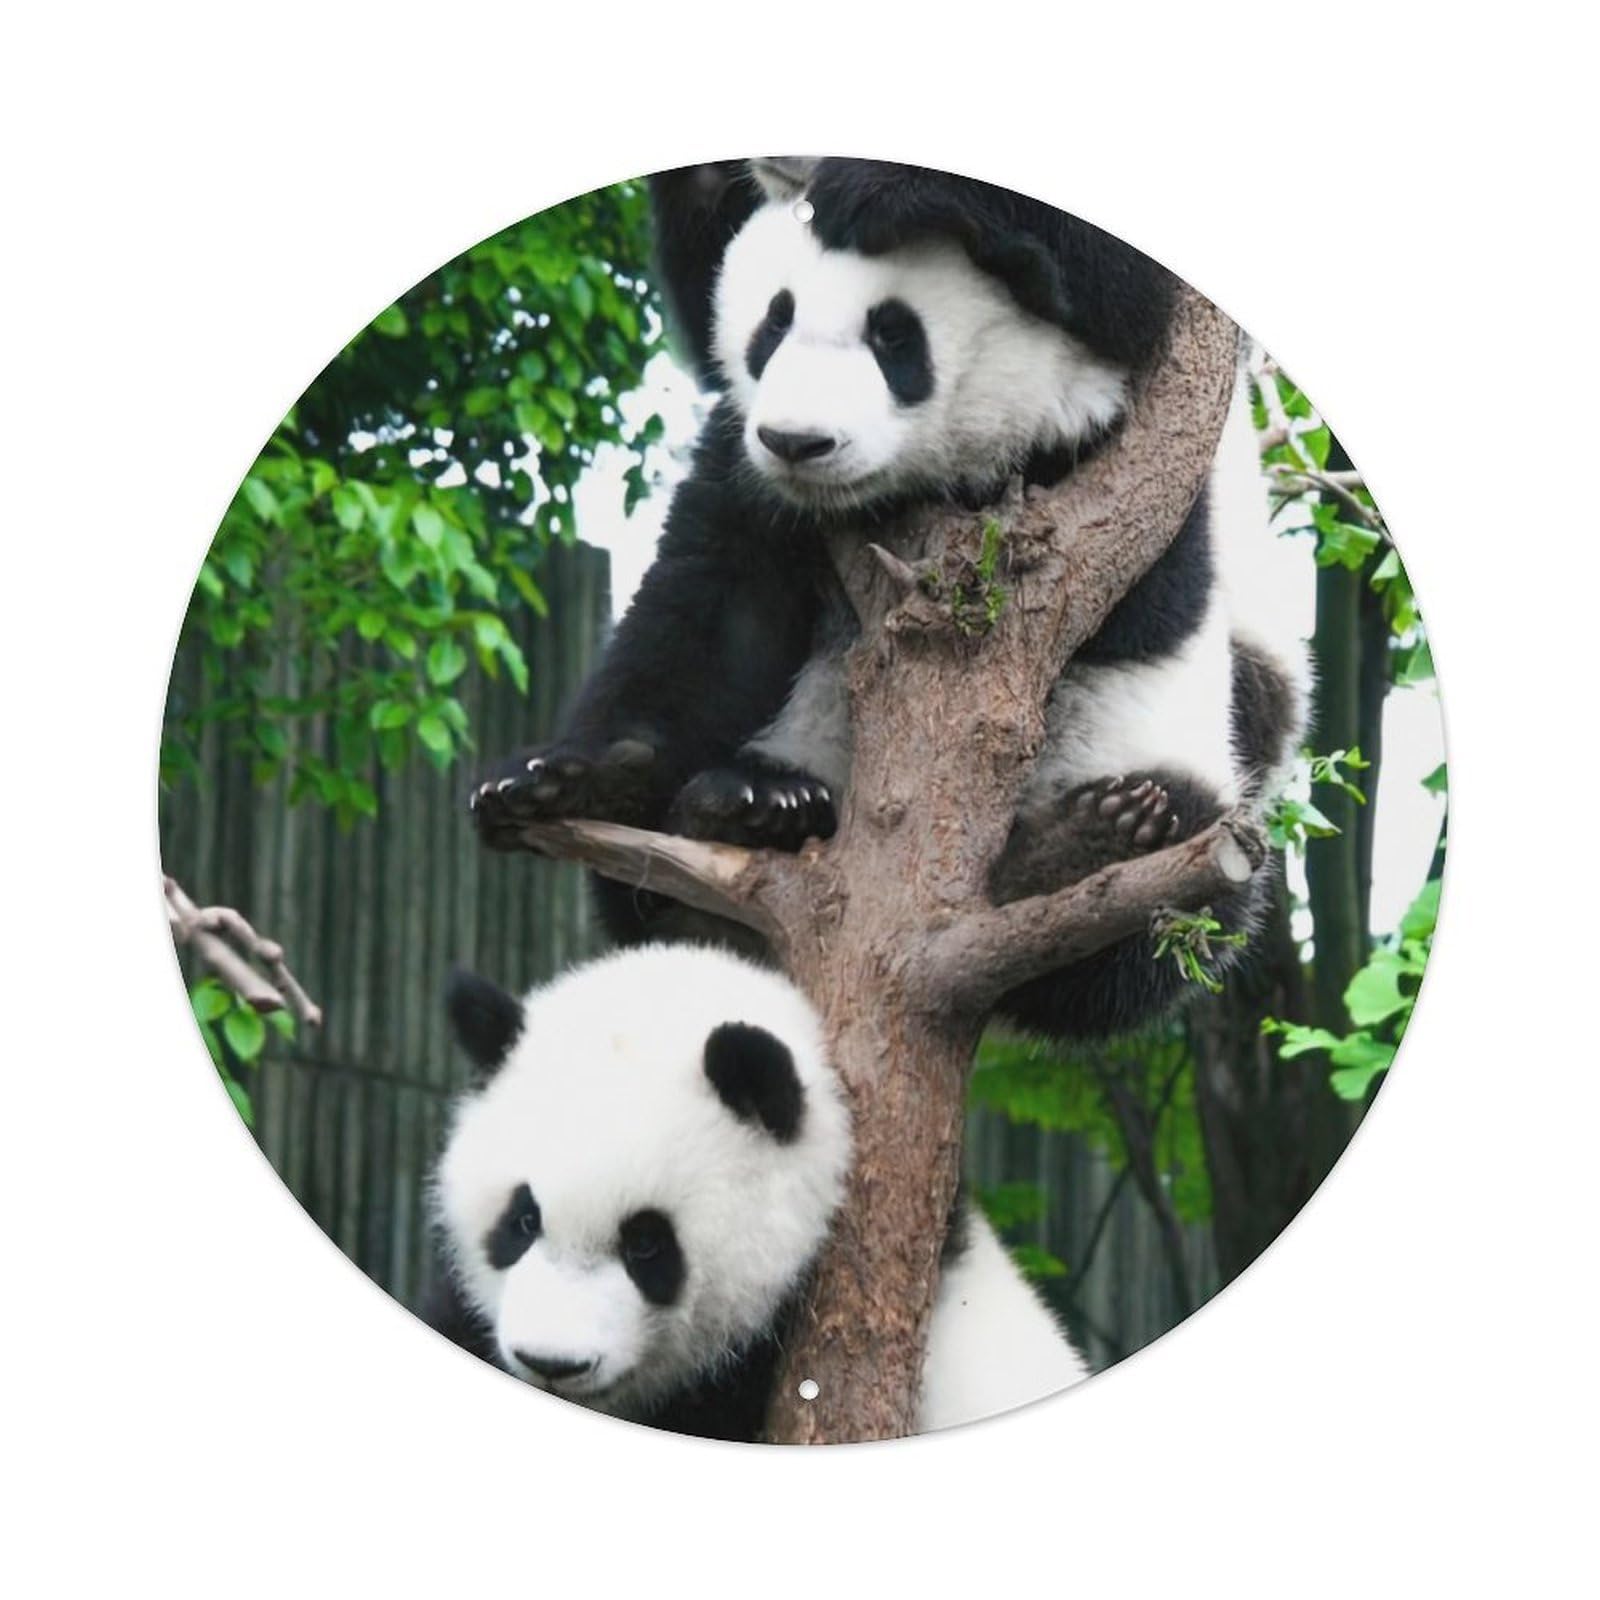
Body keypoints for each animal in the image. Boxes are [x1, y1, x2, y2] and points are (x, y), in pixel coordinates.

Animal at [471, 158, 1307, 1039]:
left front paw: (878, 188)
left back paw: (1085, 847)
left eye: (895, 337)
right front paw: (584, 773)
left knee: (1172, 899)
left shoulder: (1111, 483)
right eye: (773, 322)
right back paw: (731, 810)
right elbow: (699, 626)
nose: (797, 442)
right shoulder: (747, 493)